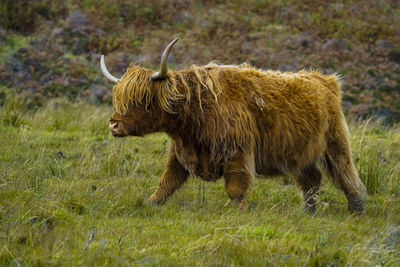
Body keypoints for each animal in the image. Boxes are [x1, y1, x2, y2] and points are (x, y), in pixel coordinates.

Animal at [100, 38, 366, 215]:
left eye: (141, 100)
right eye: (118, 99)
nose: (114, 125)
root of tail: (326, 80)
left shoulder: (236, 152)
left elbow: (236, 188)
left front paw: (239, 212)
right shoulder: (179, 152)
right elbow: (167, 181)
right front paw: (150, 203)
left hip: (335, 144)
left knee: (346, 176)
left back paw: (357, 210)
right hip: (301, 153)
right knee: (311, 180)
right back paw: (308, 211)